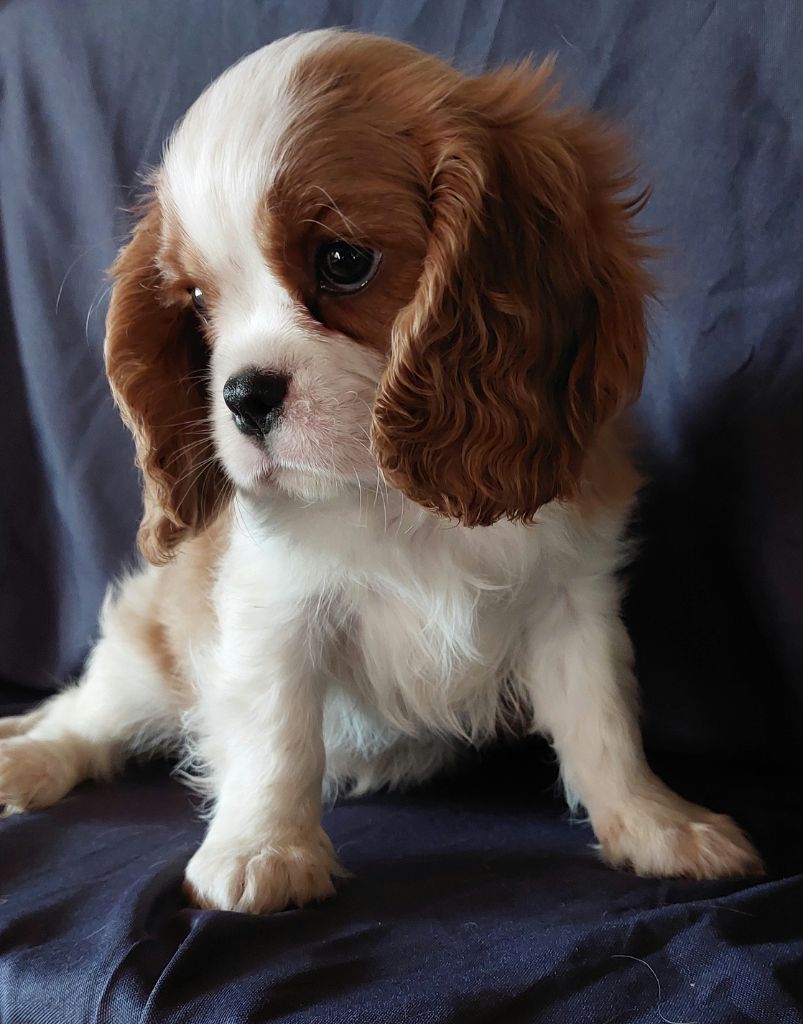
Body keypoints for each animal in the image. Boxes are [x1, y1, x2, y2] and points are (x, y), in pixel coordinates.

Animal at [0, 30, 763, 913]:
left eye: (342, 261)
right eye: (195, 301)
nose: (242, 396)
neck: (392, 494)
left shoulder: (571, 600)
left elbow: (600, 720)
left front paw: (655, 825)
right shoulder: (273, 607)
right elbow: (276, 734)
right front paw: (265, 849)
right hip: (150, 646)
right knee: (88, 715)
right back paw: (27, 760)